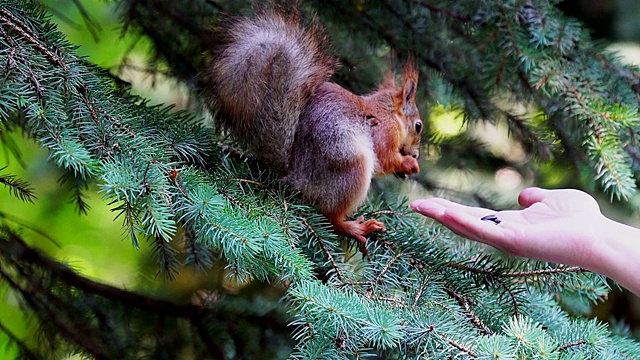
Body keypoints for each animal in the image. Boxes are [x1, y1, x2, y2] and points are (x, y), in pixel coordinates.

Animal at [202, 7, 422, 255]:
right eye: (418, 126)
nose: (416, 154)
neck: (387, 113)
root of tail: (297, 178)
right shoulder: (384, 133)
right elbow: (385, 158)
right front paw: (408, 164)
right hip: (351, 167)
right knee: (331, 217)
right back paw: (355, 228)